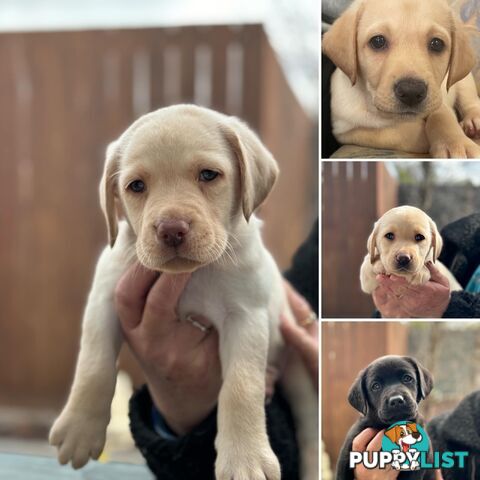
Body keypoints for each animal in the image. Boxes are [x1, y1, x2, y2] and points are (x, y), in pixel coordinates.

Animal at [47, 105, 318, 480]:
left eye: (208, 175)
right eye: (136, 186)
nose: (170, 229)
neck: (192, 275)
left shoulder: (246, 317)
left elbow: (241, 386)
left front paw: (245, 459)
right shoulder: (105, 297)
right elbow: (93, 364)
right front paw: (79, 429)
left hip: (298, 370)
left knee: (309, 433)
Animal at [324, 0, 480, 158]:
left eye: (437, 44)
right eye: (378, 41)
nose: (411, 92)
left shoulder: (438, 101)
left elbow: (443, 116)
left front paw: (456, 143)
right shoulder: (345, 130)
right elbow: (388, 134)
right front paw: (421, 137)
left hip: (465, 82)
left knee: (471, 102)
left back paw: (474, 121)